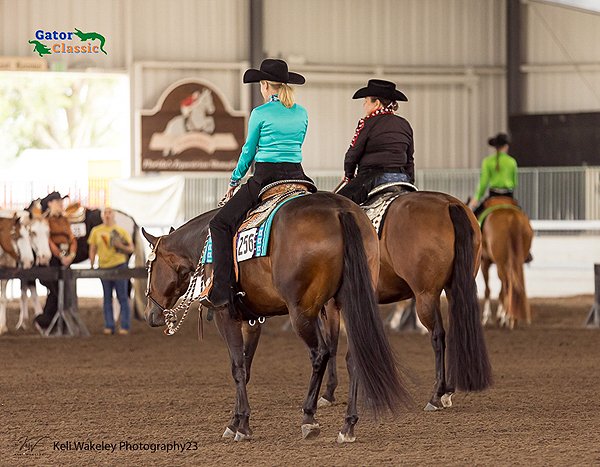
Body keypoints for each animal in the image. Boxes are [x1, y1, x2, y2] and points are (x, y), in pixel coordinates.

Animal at [143, 192, 410, 444]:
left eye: (149, 266)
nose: (149, 315)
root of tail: (340, 210)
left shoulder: (225, 316)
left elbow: (237, 367)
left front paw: (242, 426)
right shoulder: (251, 321)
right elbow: (246, 368)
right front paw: (236, 421)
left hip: (302, 313)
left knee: (320, 354)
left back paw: (309, 417)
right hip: (350, 302)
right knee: (354, 357)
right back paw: (348, 426)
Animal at [318, 192, 492, 412]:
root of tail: (450, 204)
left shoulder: (331, 303)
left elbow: (332, 343)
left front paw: (328, 393)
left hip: (426, 295)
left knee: (438, 336)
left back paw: (436, 395)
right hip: (456, 288)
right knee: (456, 331)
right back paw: (448, 391)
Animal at [478, 197, 536, 330]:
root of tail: (512, 218)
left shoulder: (485, 262)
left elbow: (488, 290)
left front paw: (487, 317)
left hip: (501, 262)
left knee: (506, 284)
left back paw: (506, 318)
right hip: (515, 260)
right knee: (511, 284)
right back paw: (512, 317)